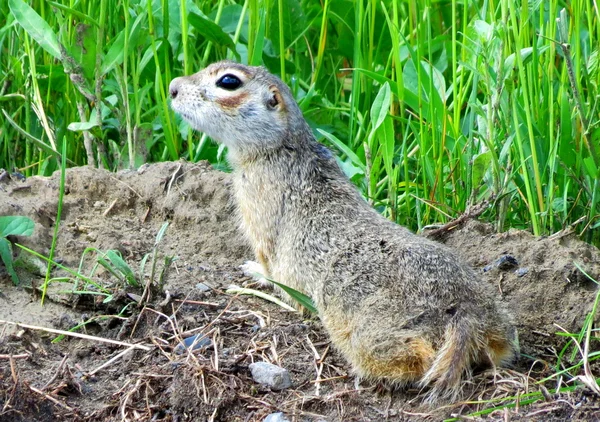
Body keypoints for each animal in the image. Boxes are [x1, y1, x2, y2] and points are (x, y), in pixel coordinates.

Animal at [170, 60, 520, 402]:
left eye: (228, 82)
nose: (173, 87)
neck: (281, 148)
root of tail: (468, 315)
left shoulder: (258, 216)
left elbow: (269, 266)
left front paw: (252, 270)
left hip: (374, 334)